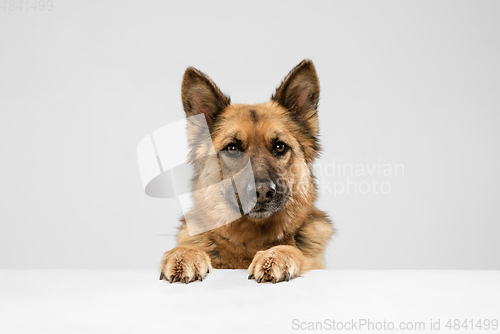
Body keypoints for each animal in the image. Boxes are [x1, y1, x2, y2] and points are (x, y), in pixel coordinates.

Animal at [158, 58, 334, 284]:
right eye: (232, 148)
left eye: (280, 147)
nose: (262, 192)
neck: (251, 239)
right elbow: (190, 245)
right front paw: (184, 254)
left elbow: (294, 249)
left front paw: (276, 255)